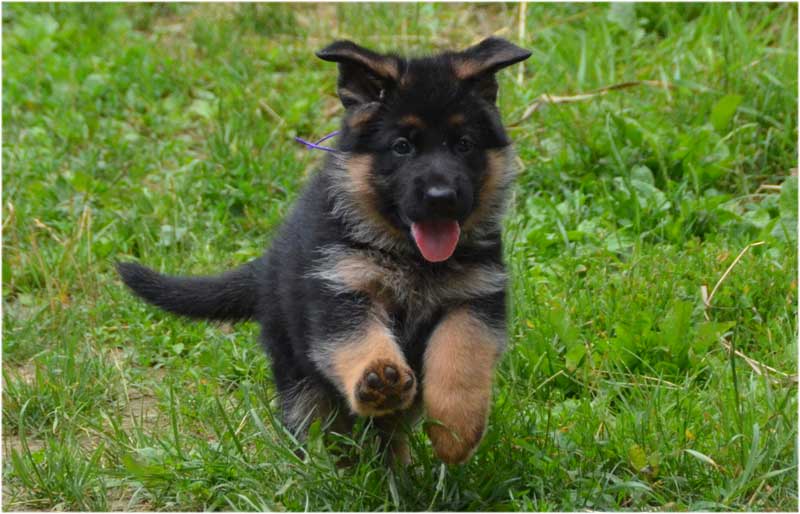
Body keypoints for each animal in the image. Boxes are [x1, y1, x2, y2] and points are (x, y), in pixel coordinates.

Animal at [117, 37, 532, 464]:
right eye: (402, 147)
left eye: (464, 145)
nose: (441, 198)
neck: (409, 257)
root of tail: (268, 269)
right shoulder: (340, 289)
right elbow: (357, 339)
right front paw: (378, 379)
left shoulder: (475, 297)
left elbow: (461, 355)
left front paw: (455, 431)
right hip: (297, 375)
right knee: (324, 426)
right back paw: (334, 466)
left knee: (387, 433)